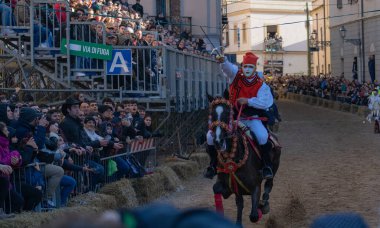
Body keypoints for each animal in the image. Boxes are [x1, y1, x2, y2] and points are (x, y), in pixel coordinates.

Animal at [208, 93, 282, 226]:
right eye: (212, 114)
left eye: (228, 113)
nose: (218, 141)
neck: (233, 158)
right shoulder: (233, 187)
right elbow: (219, 190)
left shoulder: (256, 187)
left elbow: (253, 215)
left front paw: (260, 208)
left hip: (274, 168)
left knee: (269, 184)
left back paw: (264, 203)